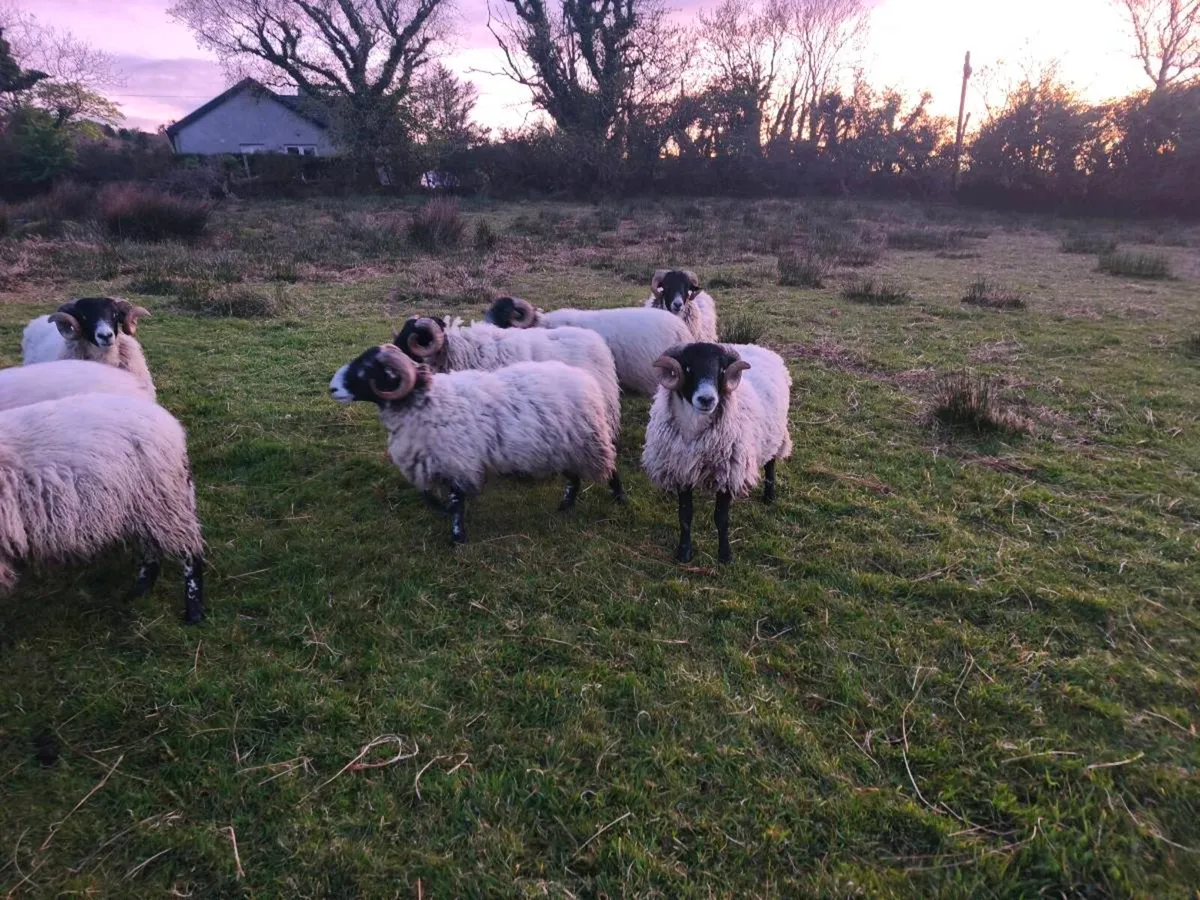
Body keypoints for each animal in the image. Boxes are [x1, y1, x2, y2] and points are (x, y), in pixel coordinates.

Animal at [0, 394, 205, 623]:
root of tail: (170, 423)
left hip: (165, 499)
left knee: (189, 554)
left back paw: (193, 612)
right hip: (143, 504)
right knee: (152, 550)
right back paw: (138, 593)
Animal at [329, 344, 625, 544]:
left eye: (368, 370)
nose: (332, 388)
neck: (426, 402)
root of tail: (586, 380)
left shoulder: (458, 461)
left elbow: (456, 502)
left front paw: (457, 537)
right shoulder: (432, 461)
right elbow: (427, 494)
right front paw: (441, 511)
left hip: (589, 442)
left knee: (610, 470)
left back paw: (619, 499)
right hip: (564, 448)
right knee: (574, 479)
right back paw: (565, 507)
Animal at [641, 342, 792, 564]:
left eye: (720, 370)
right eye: (688, 367)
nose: (707, 399)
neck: (693, 430)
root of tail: (759, 347)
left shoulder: (728, 474)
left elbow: (721, 519)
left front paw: (725, 555)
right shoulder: (681, 471)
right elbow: (685, 516)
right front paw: (683, 553)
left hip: (775, 433)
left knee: (771, 462)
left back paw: (769, 496)